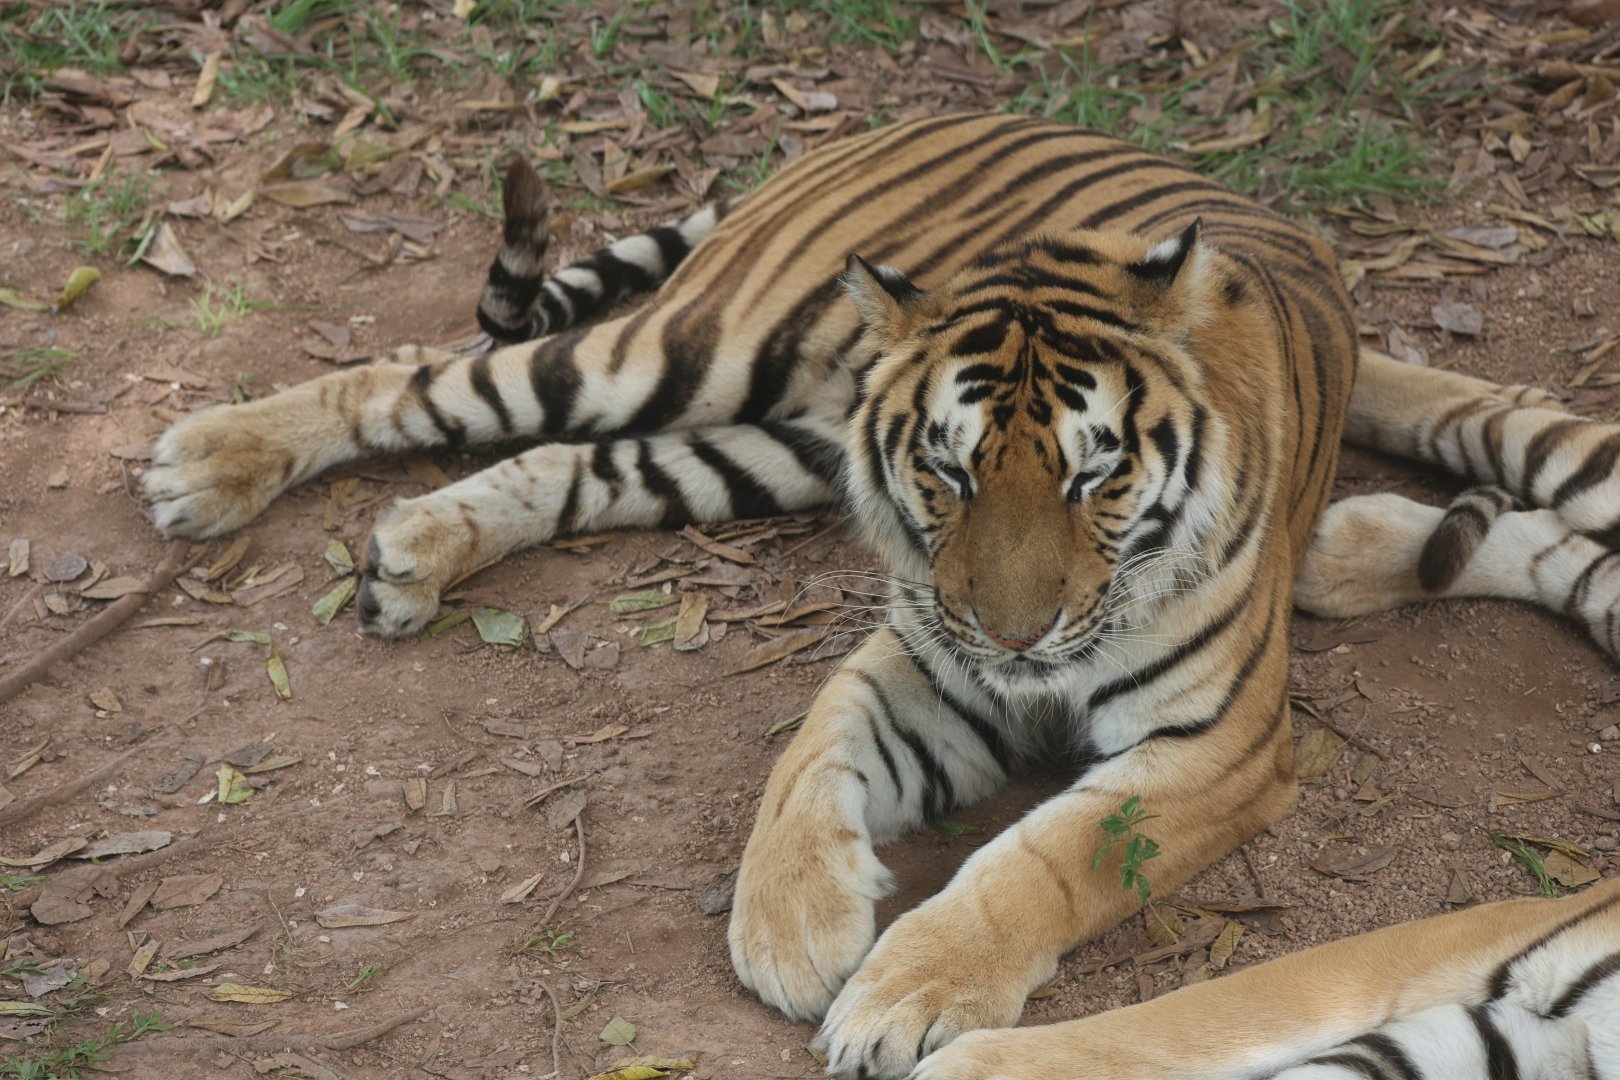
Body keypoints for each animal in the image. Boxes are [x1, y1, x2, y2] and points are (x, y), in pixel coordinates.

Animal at [141, 112, 1620, 1078]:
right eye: (949, 472)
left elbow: (1046, 858)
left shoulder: (1217, 748)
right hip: (688, 350)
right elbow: (810, 756)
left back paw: (409, 549)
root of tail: (944, 106)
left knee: (568, 457)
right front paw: (792, 932)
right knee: (420, 376)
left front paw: (898, 991)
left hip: (751, 446)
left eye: (1096, 477)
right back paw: (204, 462)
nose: (1019, 631)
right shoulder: (928, 652)